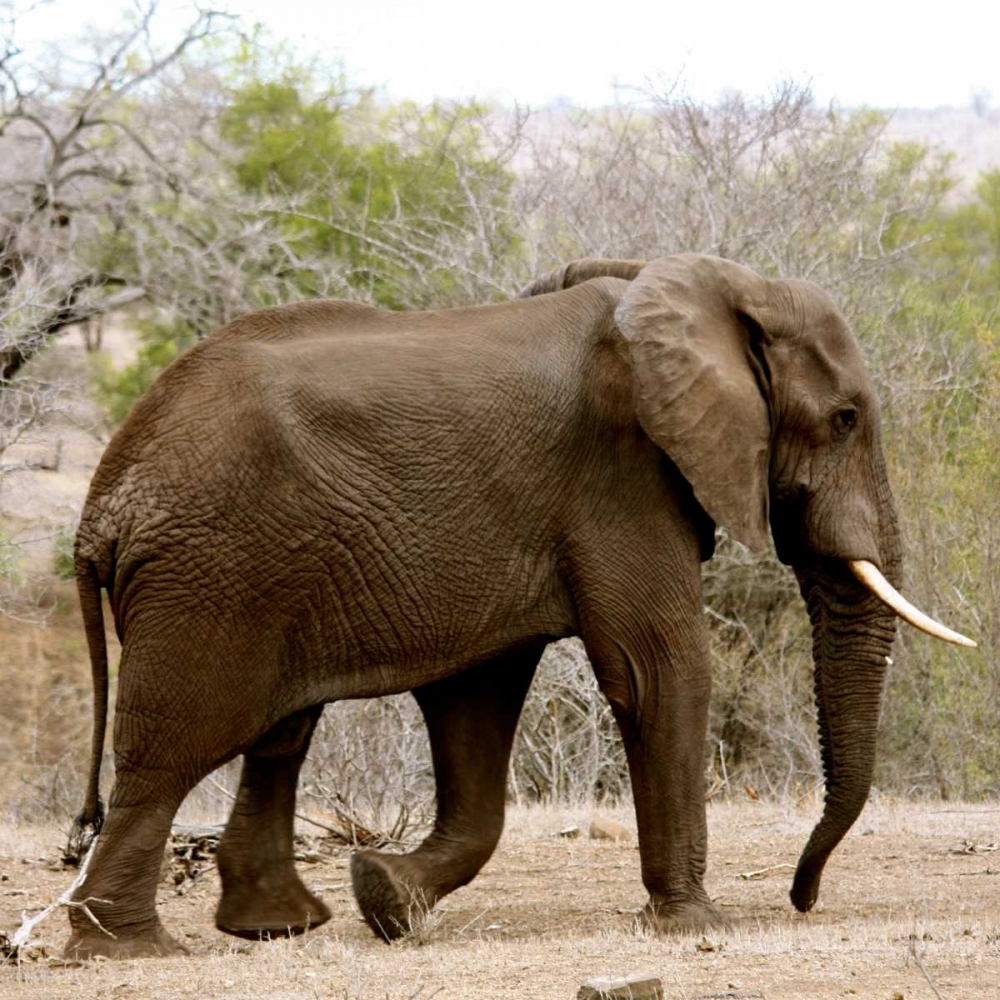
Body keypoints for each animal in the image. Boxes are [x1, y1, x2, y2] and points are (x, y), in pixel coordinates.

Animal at [63, 253, 974, 959]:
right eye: (845, 417)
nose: (800, 897)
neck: (704, 284)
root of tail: (101, 507)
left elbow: (476, 697)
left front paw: (387, 898)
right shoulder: (622, 476)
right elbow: (657, 671)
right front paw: (694, 924)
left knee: (279, 735)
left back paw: (275, 927)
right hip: (207, 578)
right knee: (169, 755)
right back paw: (131, 947)